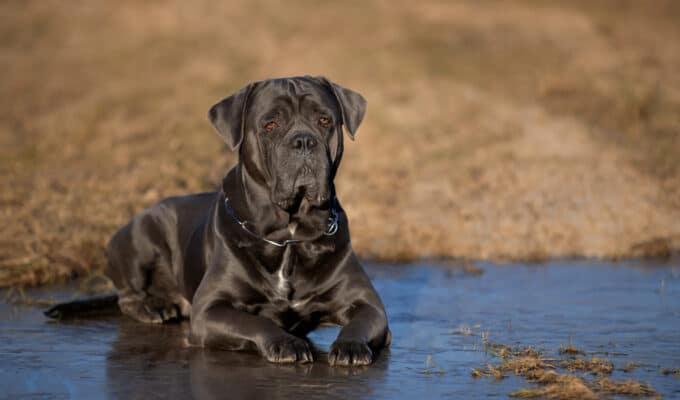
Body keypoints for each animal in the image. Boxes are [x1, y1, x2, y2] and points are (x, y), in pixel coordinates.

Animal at [106, 76, 394, 366]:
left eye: (324, 120)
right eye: (270, 124)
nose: (303, 141)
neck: (288, 235)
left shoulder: (368, 305)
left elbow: (359, 322)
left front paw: (351, 347)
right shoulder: (210, 309)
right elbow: (255, 323)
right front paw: (286, 343)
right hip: (142, 236)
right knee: (127, 295)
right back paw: (153, 307)